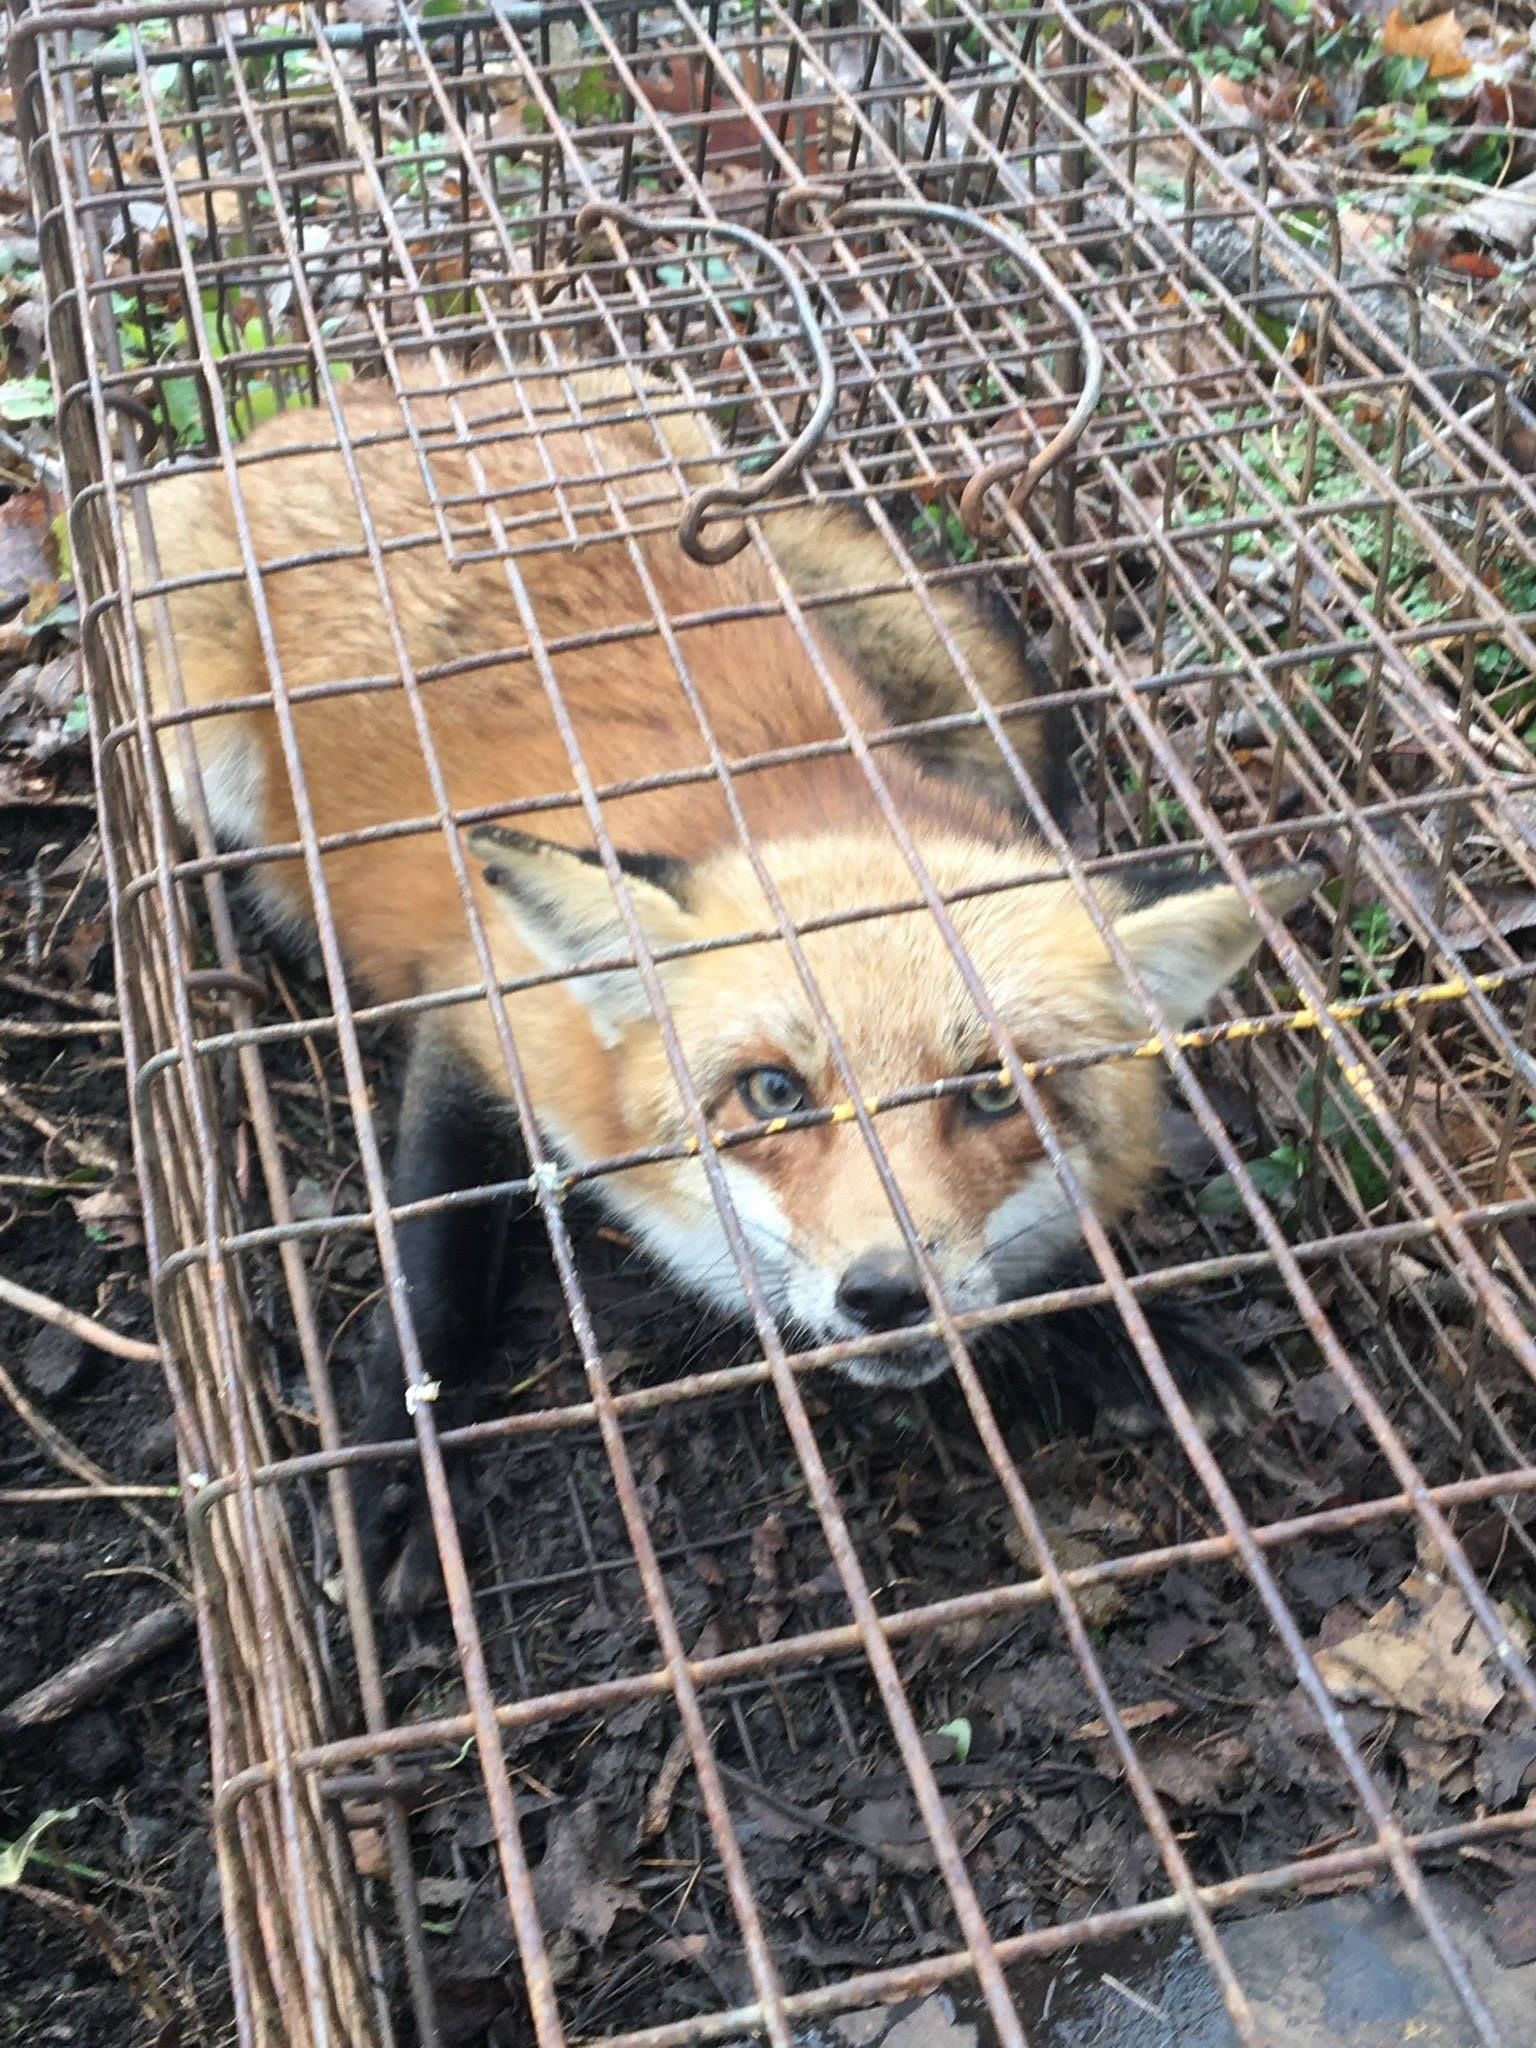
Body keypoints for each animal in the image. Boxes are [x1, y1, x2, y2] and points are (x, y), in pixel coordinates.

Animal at [122, 359, 1315, 1607]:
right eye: (774, 1093)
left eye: (995, 1092)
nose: (886, 1292)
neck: (794, 798)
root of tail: (383, 387)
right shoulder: (478, 1013)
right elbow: (433, 1279)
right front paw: (399, 1472)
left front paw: (1119, 1330)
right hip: (205, 754)